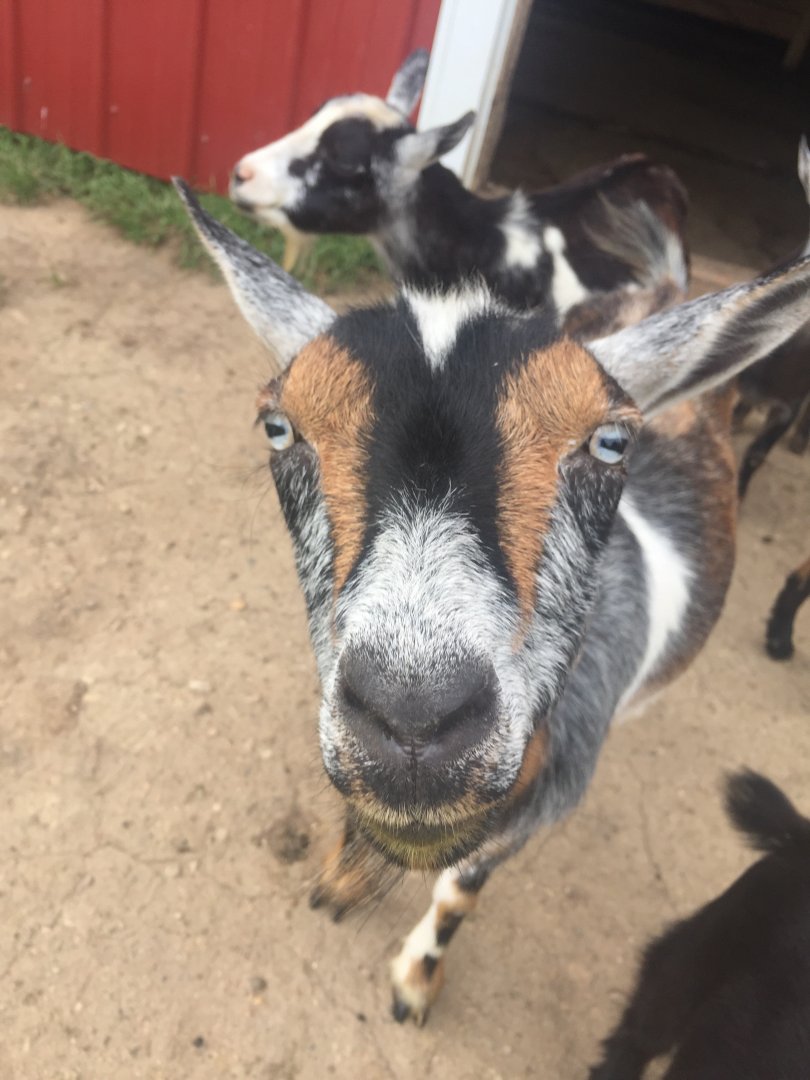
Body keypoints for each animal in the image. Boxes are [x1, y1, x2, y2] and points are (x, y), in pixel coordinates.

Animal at [174, 179, 810, 1026]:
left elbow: (459, 887)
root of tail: (669, 289)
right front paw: (344, 876)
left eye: (611, 444)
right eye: (279, 427)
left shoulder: (548, 798)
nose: (413, 721)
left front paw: (416, 979)